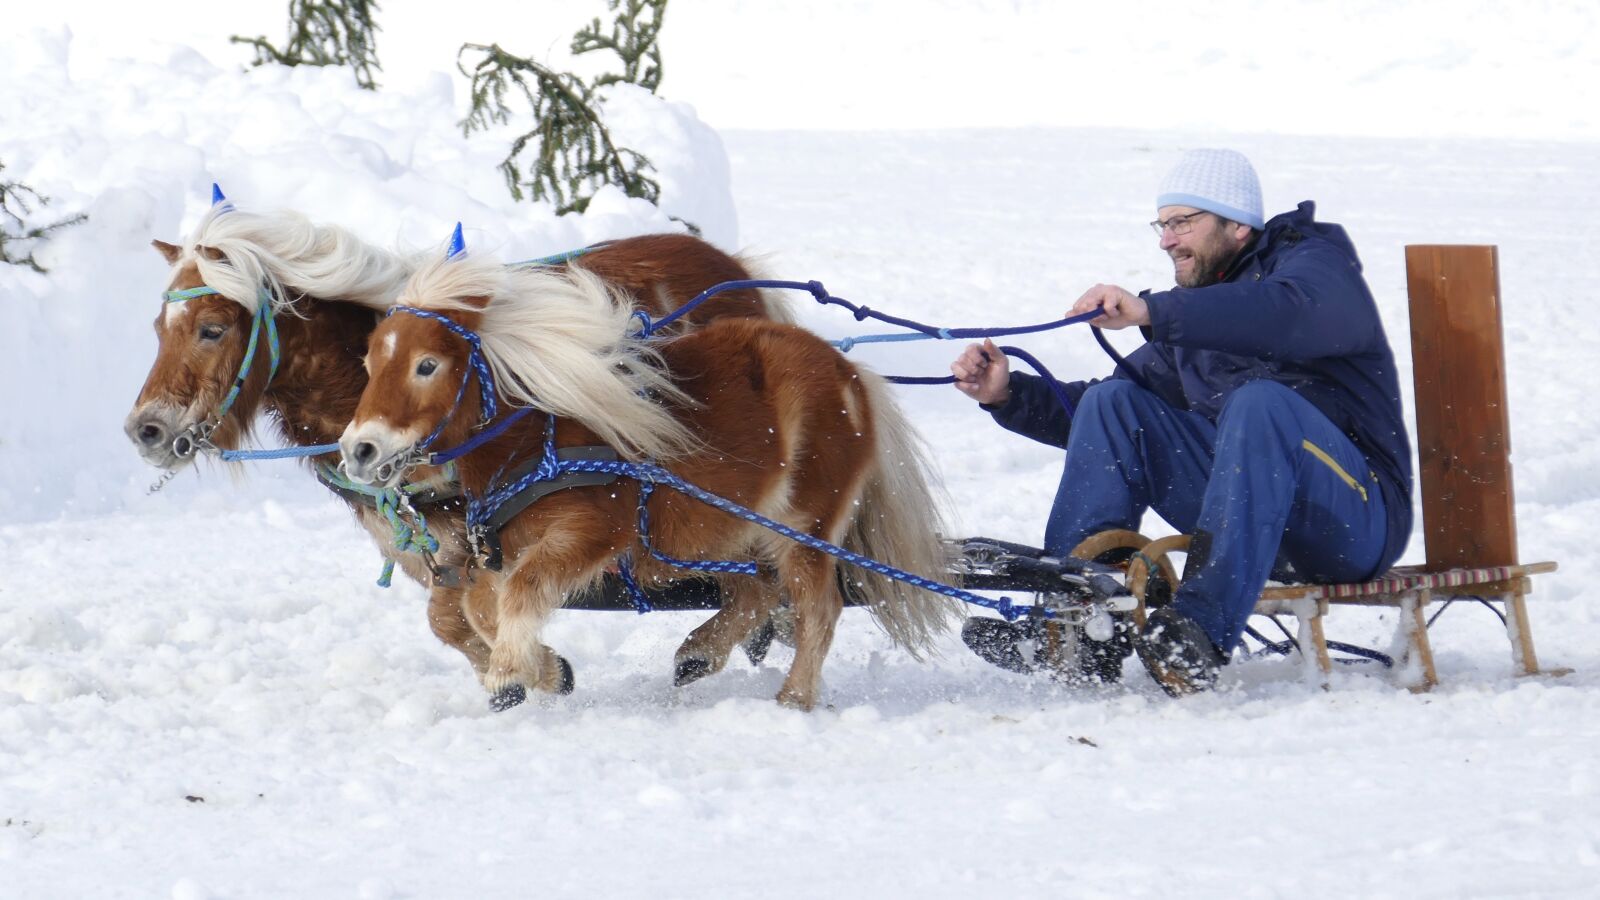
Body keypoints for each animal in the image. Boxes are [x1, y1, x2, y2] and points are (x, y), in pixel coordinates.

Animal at [123, 194, 786, 683]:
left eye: (211, 329)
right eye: (157, 327)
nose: (145, 429)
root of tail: (732, 268)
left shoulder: (483, 538)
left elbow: (466, 610)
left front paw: (533, 672)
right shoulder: (425, 548)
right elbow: (452, 621)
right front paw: (541, 672)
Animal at [338, 244, 955, 710]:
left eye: (426, 366)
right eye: (369, 364)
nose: (358, 449)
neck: (539, 435)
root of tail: (851, 373)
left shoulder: (589, 534)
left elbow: (519, 595)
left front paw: (511, 673)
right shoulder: (499, 548)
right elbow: (481, 608)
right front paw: (546, 672)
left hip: (804, 526)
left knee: (817, 608)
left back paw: (793, 699)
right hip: (734, 527)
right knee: (757, 591)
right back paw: (699, 654)